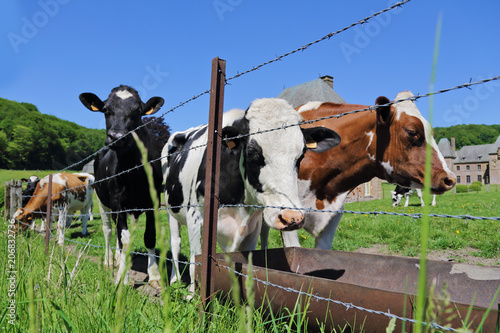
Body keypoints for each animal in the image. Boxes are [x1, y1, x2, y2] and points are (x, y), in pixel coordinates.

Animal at [79, 83, 163, 286]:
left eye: (138, 112)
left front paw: (154, 275)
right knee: (109, 230)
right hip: (102, 201)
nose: (116, 136)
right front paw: (122, 278)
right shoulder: (118, 203)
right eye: (106, 110)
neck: (134, 171)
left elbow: (149, 236)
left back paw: (119, 259)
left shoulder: (153, 201)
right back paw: (110, 261)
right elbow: (122, 238)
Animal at [162, 96, 342, 294]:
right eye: (252, 152)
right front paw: (192, 295)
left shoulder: (252, 226)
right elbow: (196, 260)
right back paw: (175, 280)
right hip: (171, 209)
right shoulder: (195, 216)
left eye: (301, 155)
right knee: (175, 242)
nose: (292, 217)